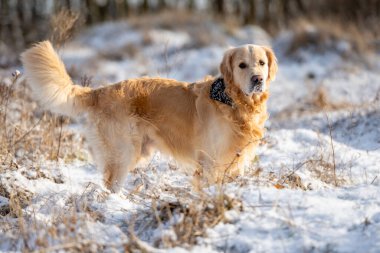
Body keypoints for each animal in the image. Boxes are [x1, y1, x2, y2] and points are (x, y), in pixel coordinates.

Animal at [21, 41, 276, 192]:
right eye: (242, 65)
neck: (233, 101)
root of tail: (100, 91)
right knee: (110, 184)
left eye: (261, 63)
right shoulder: (209, 162)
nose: (257, 79)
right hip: (122, 152)